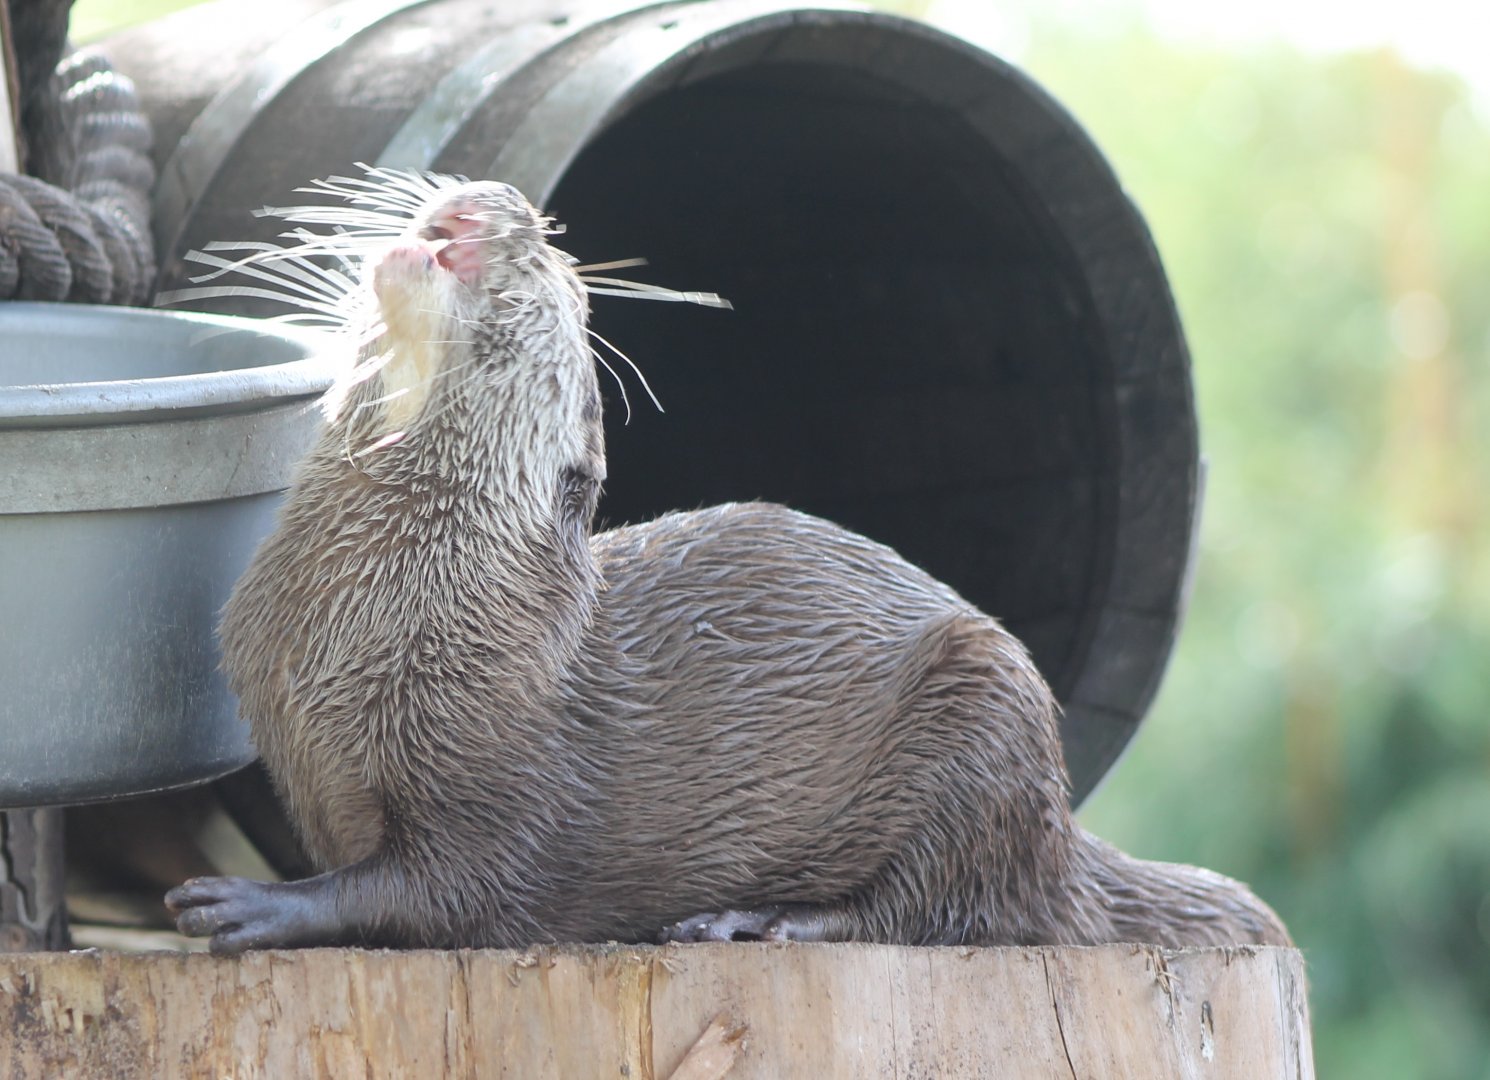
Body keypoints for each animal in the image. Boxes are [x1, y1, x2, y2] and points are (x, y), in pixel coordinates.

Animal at [165, 173, 1289, 953]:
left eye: (559, 288)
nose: (508, 207)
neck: (385, 614)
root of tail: (1067, 834)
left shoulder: (498, 786)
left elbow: (438, 891)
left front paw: (255, 906)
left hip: (989, 719)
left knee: (948, 906)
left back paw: (754, 920)